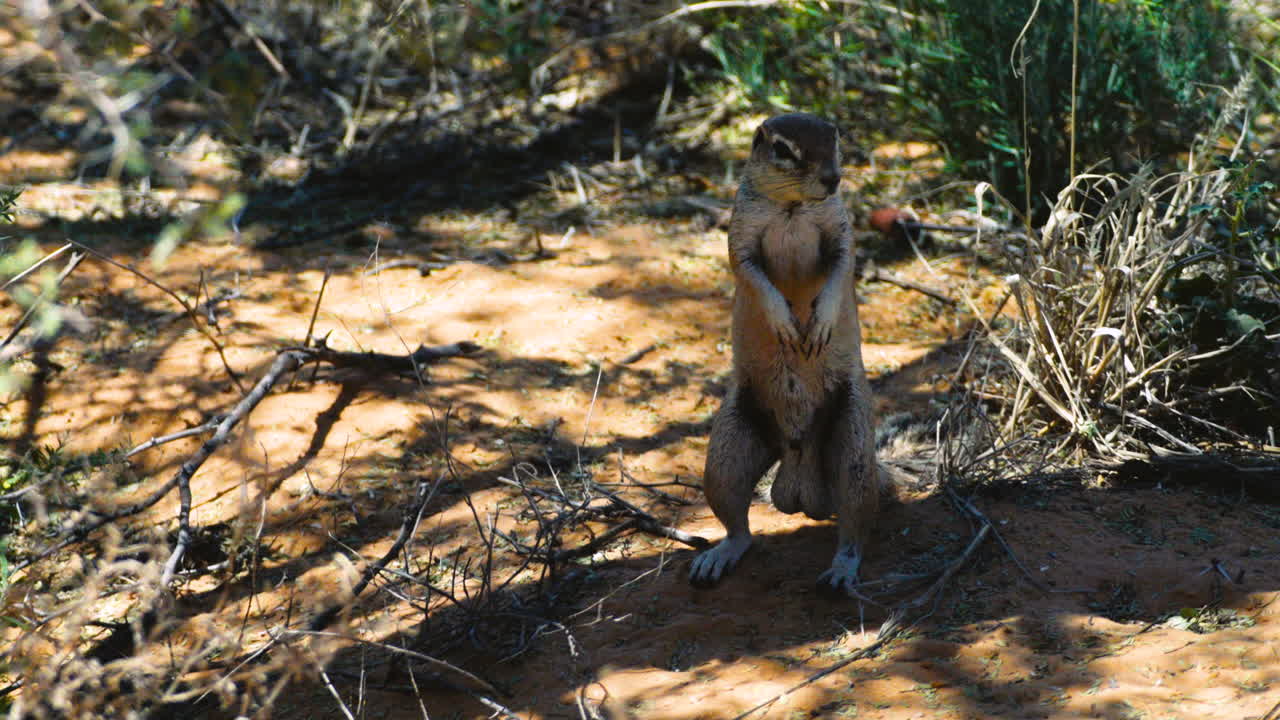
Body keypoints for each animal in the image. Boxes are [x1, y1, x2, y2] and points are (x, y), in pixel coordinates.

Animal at [689, 113, 889, 597]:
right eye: (783, 149)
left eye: (836, 138)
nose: (833, 179)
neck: (794, 208)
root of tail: (799, 477)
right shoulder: (741, 233)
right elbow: (751, 273)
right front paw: (784, 322)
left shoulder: (840, 229)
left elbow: (842, 267)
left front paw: (819, 323)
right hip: (727, 452)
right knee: (739, 526)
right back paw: (718, 556)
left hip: (854, 449)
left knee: (855, 526)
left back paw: (841, 569)